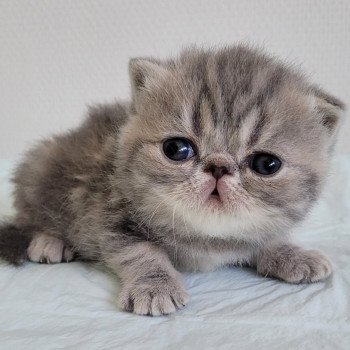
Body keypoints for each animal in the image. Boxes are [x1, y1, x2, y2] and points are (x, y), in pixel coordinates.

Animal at [0, 45, 344, 316]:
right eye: (177, 149)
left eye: (266, 164)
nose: (218, 166)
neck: (205, 238)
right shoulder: (105, 214)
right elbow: (141, 252)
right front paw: (155, 285)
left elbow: (262, 238)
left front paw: (291, 254)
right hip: (40, 169)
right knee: (30, 214)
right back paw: (49, 240)